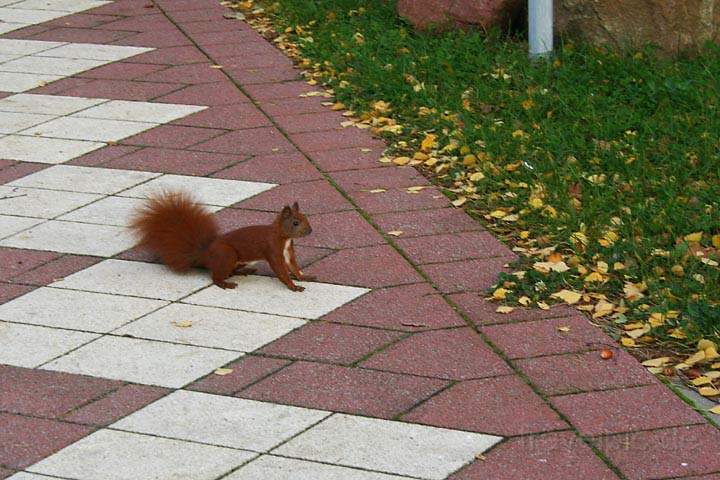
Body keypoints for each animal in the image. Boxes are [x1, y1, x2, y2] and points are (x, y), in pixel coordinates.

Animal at [130, 191, 316, 292]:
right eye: (295, 223)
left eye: (306, 217)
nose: (310, 231)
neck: (284, 237)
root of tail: (205, 255)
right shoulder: (272, 249)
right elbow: (281, 270)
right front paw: (293, 286)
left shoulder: (288, 251)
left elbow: (294, 266)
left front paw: (304, 277)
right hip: (227, 254)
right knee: (215, 277)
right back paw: (226, 284)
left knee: (229, 271)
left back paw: (244, 270)